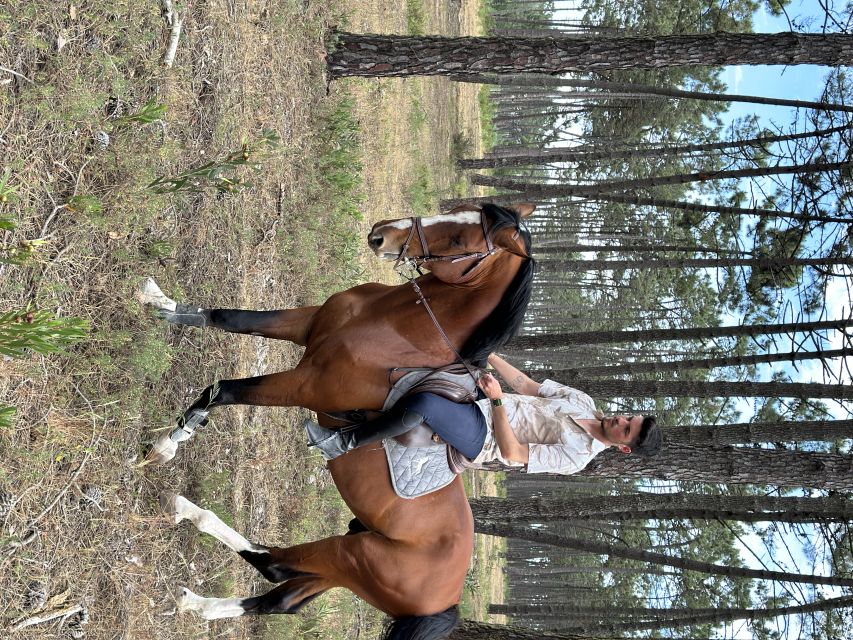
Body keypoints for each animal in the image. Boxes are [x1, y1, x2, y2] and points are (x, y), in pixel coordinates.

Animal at [144, 202, 536, 636]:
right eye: (455, 208)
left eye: (457, 241)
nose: (382, 234)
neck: (394, 327)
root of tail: (447, 599)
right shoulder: (306, 324)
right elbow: (228, 317)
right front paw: (161, 303)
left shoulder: (304, 385)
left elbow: (222, 391)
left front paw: (166, 445)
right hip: (347, 571)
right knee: (284, 599)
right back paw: (198, 605)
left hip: (353, 555)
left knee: (274, 566)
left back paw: (186, 511)